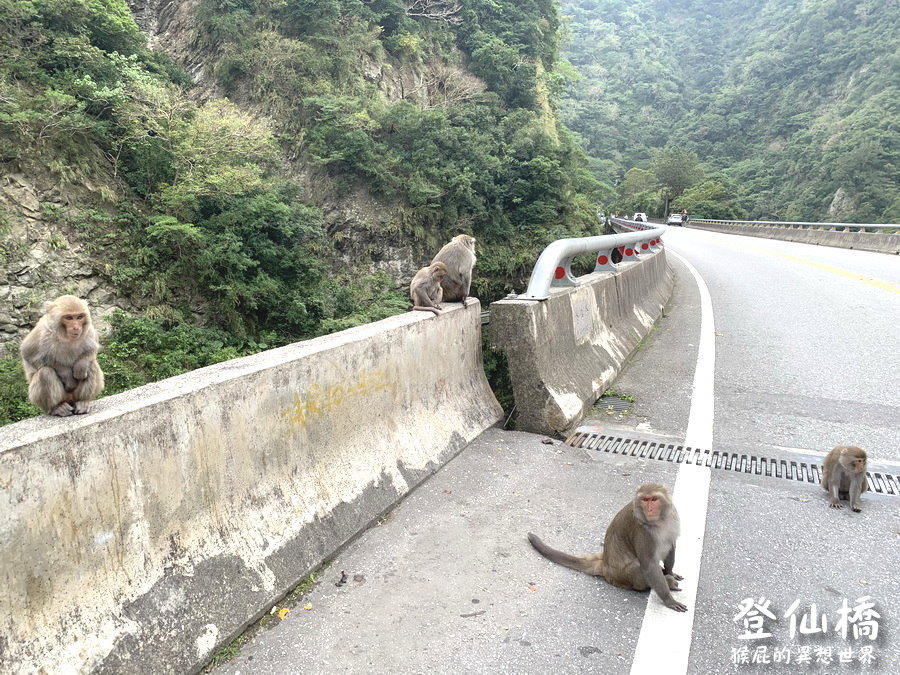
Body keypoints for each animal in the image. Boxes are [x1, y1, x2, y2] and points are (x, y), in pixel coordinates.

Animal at [524, 480, 684, 612]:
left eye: (654, 499)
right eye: (645, 500)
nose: (649, 509)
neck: (659, 521)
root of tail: (606, 565)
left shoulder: (673, 517)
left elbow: (671, 546)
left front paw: (670, 571)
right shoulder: (642, 531)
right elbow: (649, 565)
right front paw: (669, 599)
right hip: (624, 577)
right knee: (638, 568)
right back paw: (668, 582)